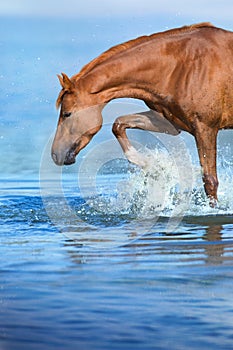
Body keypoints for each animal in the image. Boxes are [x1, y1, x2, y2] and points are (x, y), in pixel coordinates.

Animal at [51, 23, 233, 205]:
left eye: (67, 114)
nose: (55, 154)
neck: (181, 68)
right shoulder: (169, 123)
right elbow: (118, 125)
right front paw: (152, 166)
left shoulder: (205, 128)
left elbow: (210, 180)